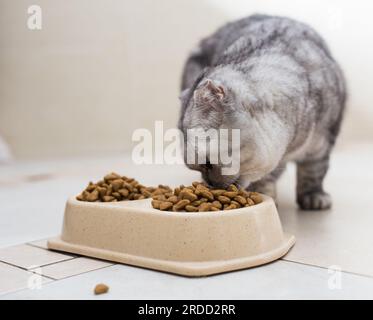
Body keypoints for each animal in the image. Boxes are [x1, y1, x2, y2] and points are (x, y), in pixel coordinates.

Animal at [177, 14, 346, 210]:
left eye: (208, 164)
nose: (209, 184)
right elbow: (266, 179)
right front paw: (267, 197)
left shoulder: (322, 144)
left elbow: (314, 171)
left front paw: (314, 196)